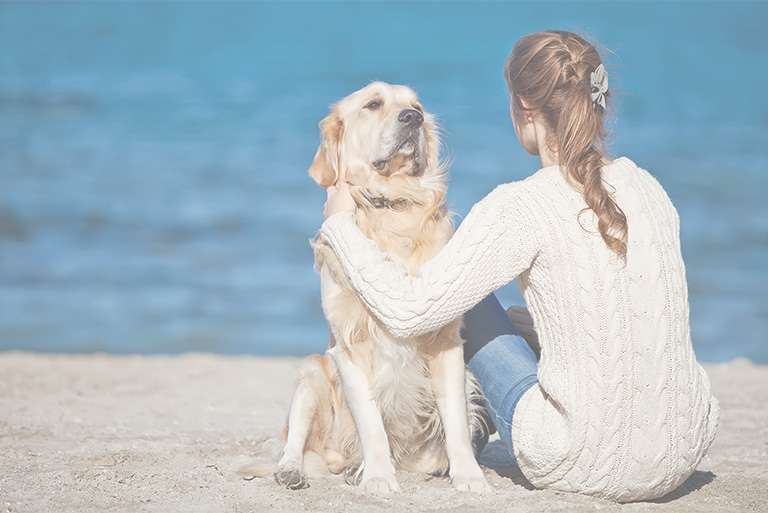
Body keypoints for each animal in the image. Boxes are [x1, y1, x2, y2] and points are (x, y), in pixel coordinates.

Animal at [242, 83, 492, 492]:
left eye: (416, 105)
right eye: (373, 104)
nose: (413, 118)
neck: (390, 206)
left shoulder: (447, 342)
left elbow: (456, 418)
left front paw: (469, 476)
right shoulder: (348, 346)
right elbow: (371, 424)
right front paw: (377, 477)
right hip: (312, 374)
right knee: (293, 444)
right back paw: (294, 470)